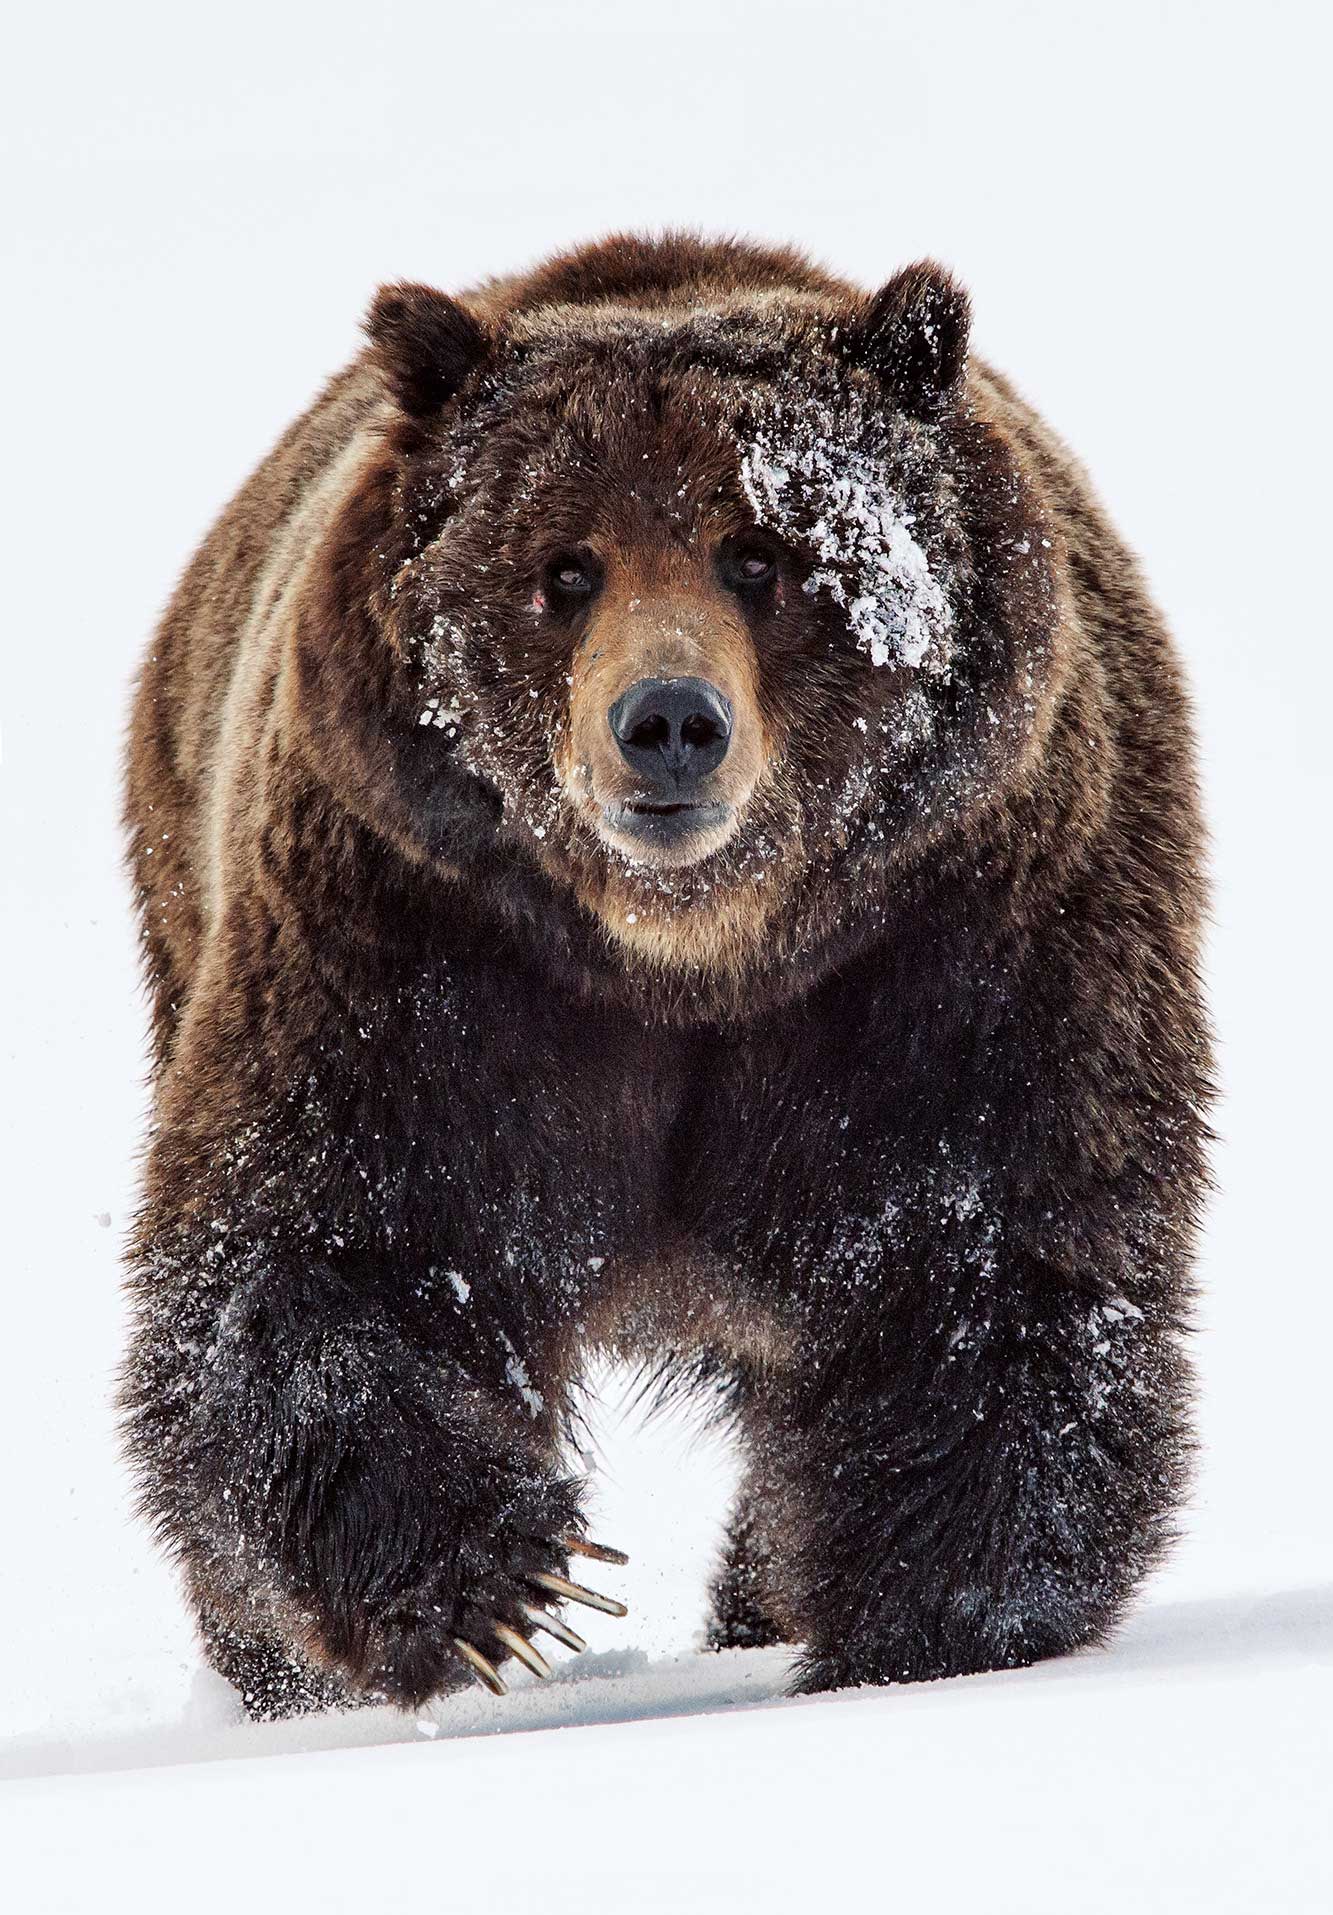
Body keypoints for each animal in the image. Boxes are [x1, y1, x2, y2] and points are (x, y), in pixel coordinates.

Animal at [122, 227, 1210, 1723]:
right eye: (563, 568)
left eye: (759, 551)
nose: (668, 722)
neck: (690, 959)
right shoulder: (415, 939)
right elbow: (316, 1247)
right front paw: (509, 1579)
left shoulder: (962, 938)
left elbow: (989, 1261)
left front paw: (930, 1623)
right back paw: (277, 1677)